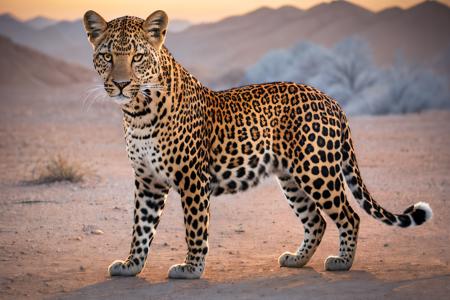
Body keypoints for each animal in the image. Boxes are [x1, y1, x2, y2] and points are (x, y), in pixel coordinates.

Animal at [83, 9, 432, 282]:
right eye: (107, 56)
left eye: (138, 57)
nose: (121, 84)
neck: (137, 112)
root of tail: (333, 101)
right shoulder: (147, 180)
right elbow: (141, 226)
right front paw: (131, 265)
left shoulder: (192, 177)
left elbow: (195, 226)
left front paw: (191, 269)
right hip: (291, 178)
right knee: (316, 220)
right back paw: (297, 259)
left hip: (318, 171)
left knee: (349, 216)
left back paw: (342, 262)